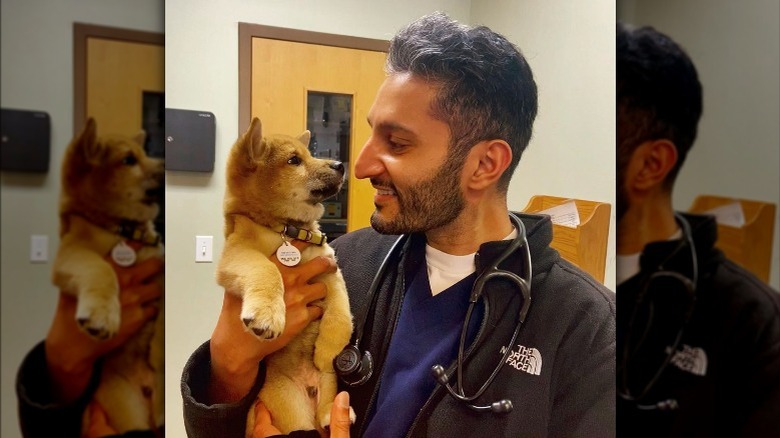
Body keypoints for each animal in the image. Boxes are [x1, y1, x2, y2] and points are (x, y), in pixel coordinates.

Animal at [52, 118, 165, 436]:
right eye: (128, 160)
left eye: (145, 153)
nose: (165, 164)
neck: (124, 230)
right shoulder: (71, 255)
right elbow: (101, 270)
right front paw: (102, 315)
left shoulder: (160, 267)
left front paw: (159, 351)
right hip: (126, 407)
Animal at [218, 117, 354, 434]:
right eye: (294, 161)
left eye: (310, 154)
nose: (340, 165)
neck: (287, 230)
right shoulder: (237, 255)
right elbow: (267, 270)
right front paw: (267, 314)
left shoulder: (330, 270)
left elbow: (341, 315)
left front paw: (328, 348)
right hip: (291, 407)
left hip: (328, 381)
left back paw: (330, 412)